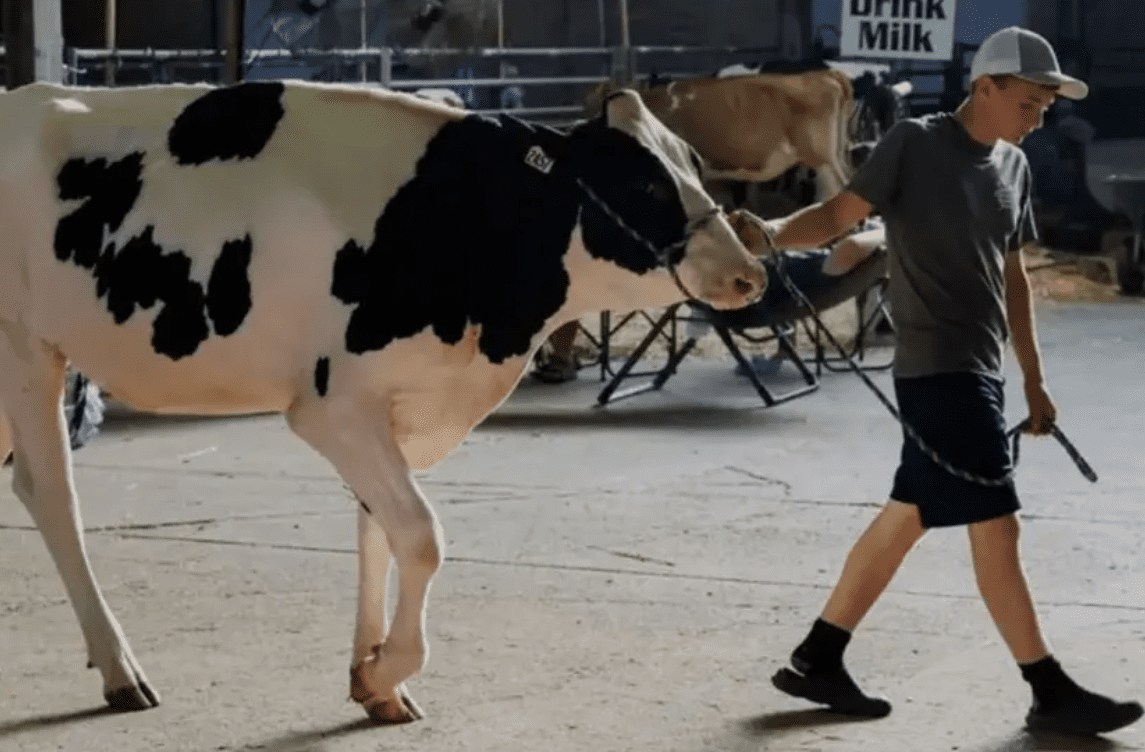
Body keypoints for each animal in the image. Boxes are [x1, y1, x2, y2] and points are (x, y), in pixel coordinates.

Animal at [0, 81, 765, 723]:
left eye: (692, 162)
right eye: (640, 179)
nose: (749, 273)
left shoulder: (390, 402)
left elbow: (379, 529)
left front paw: (376, 681)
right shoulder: (332, 404)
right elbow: (421, 536)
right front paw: (387, 667)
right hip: (25, 353)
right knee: (50, 491)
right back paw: (120, 669)